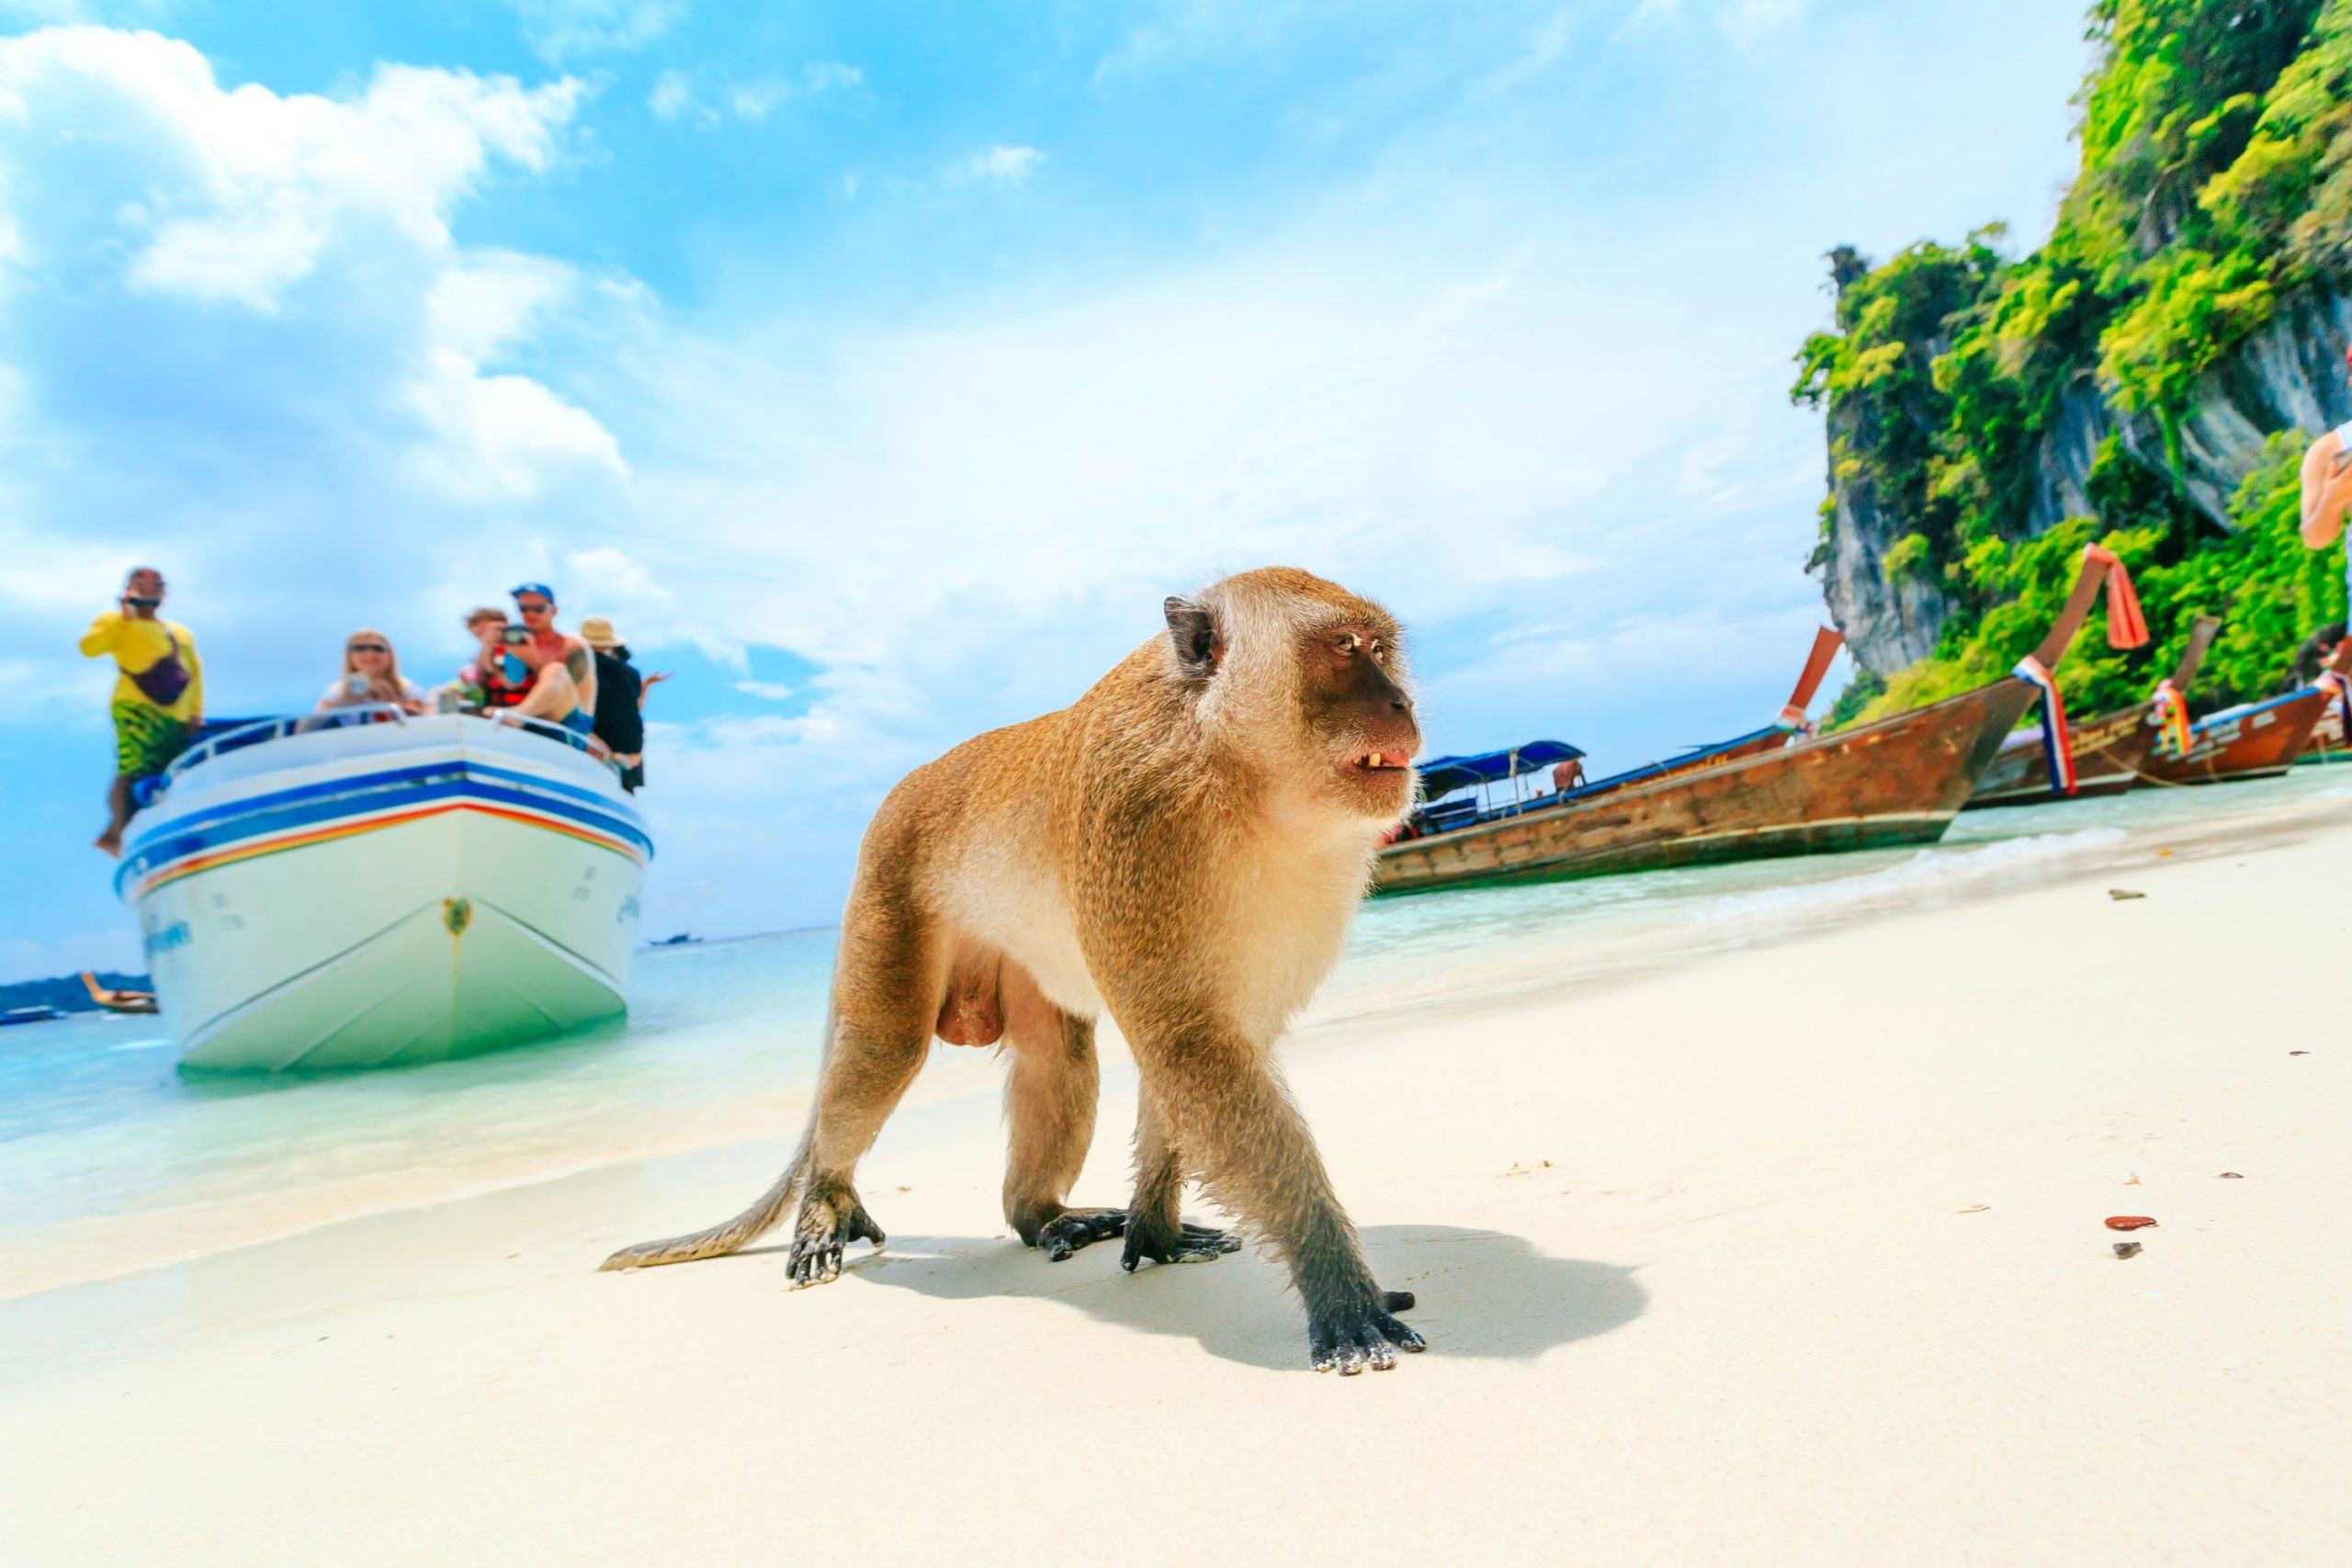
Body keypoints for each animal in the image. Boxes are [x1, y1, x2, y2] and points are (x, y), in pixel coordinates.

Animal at [603, 567, 1428, 1375]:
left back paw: (1041, 1216)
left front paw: (1157, 1231)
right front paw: (1339, 1288)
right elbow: (1188, 1046)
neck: (1232, 764)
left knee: (1054, 1057)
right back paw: (826, 1200)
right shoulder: (1139, 819)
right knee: (884, 1048)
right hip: (886, 891)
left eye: (1381, 649)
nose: (1401, 701)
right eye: (1345, 648)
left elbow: (1191, 1054)